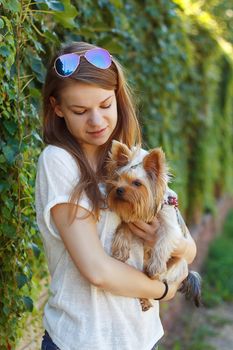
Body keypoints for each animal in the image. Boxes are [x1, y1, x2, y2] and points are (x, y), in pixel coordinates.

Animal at [106, 141, 201, 310]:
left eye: (137, 183)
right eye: (117, 178)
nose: (118, 190)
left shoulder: (170, 228)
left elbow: (163, 243)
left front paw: (155, 266)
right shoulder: (131, 220)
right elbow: (123, 228)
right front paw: (120, 251)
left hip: (178, 264)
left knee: (156, 281)